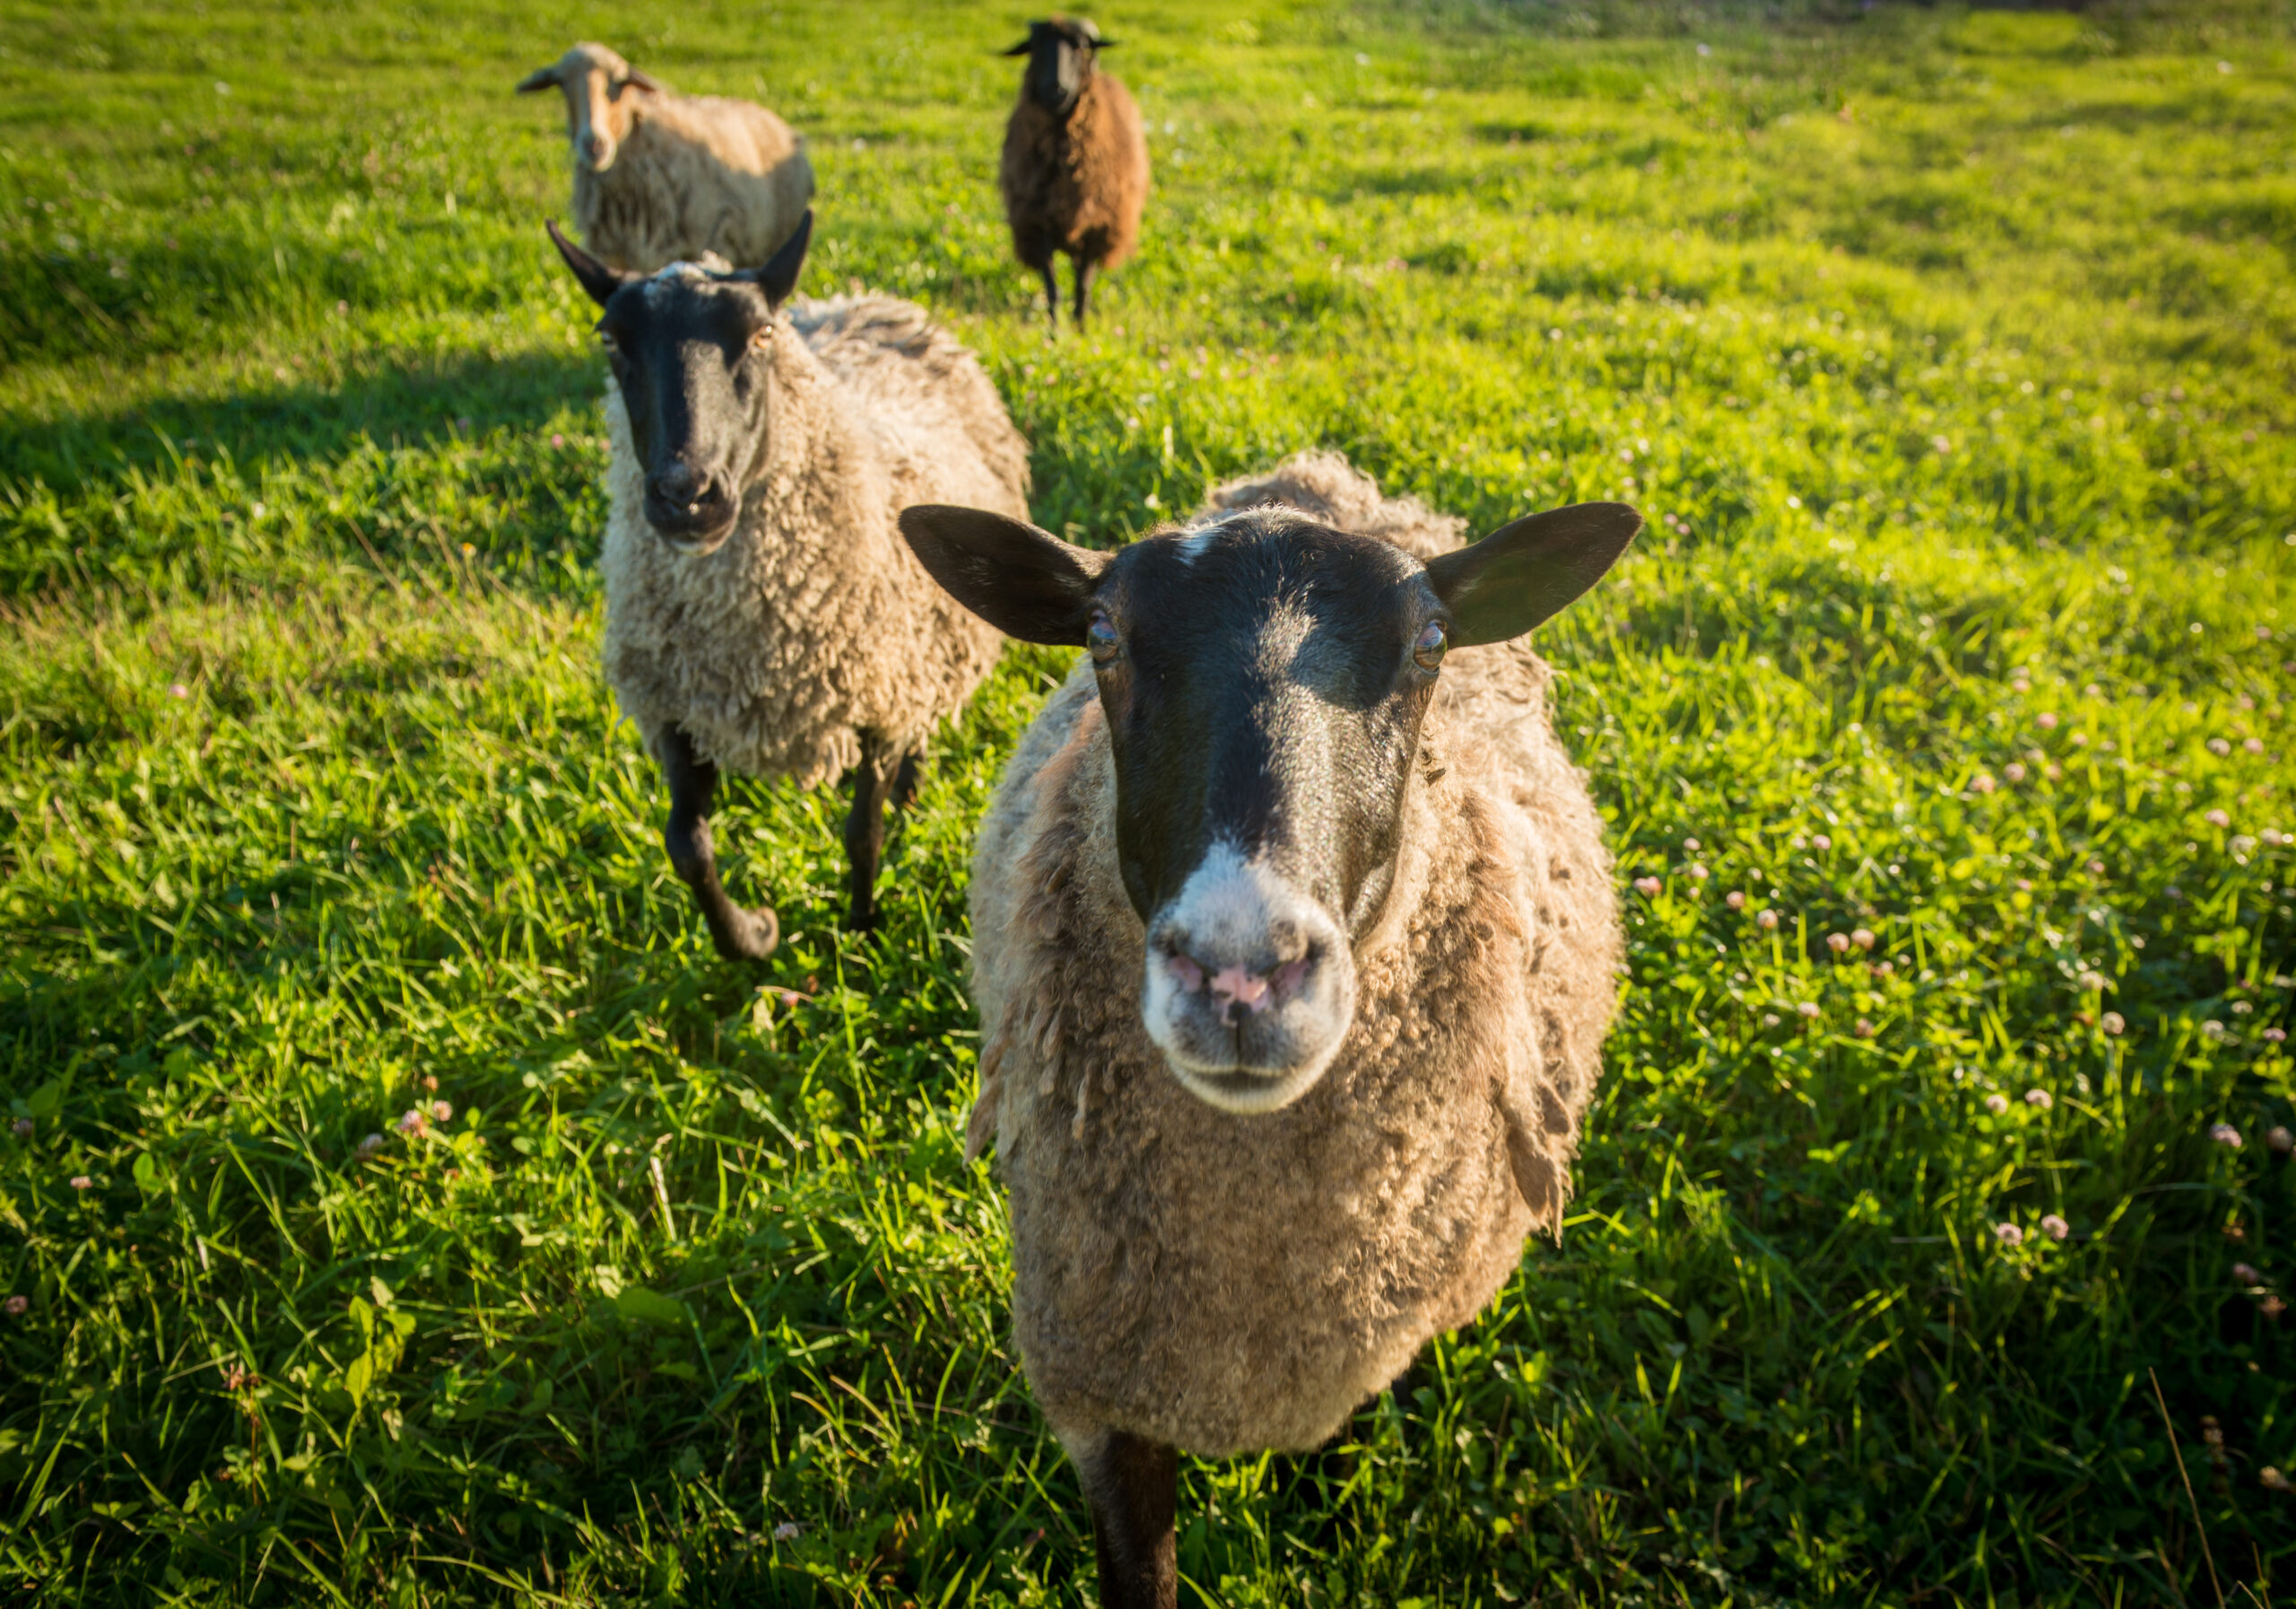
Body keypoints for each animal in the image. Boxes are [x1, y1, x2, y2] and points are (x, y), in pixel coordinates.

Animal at [544, 210, 1023, 954]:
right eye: (611, 339)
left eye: (760, 334)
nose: (687, 496)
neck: (748, 641)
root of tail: (866, 300)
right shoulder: (674, 708)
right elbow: (686, 844)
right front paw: (750, 938)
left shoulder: (879, 698)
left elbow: (862, 834)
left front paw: (861, 931)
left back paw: (910, 788)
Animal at [1001, 17, 1148, 330]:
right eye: (1035, 47)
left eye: (1080, 47)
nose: (1056, 90)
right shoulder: (1037, 224)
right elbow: (1053, 288)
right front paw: (1055, 331)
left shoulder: (1097, 227)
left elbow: (1082, 285)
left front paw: (1080, 328)